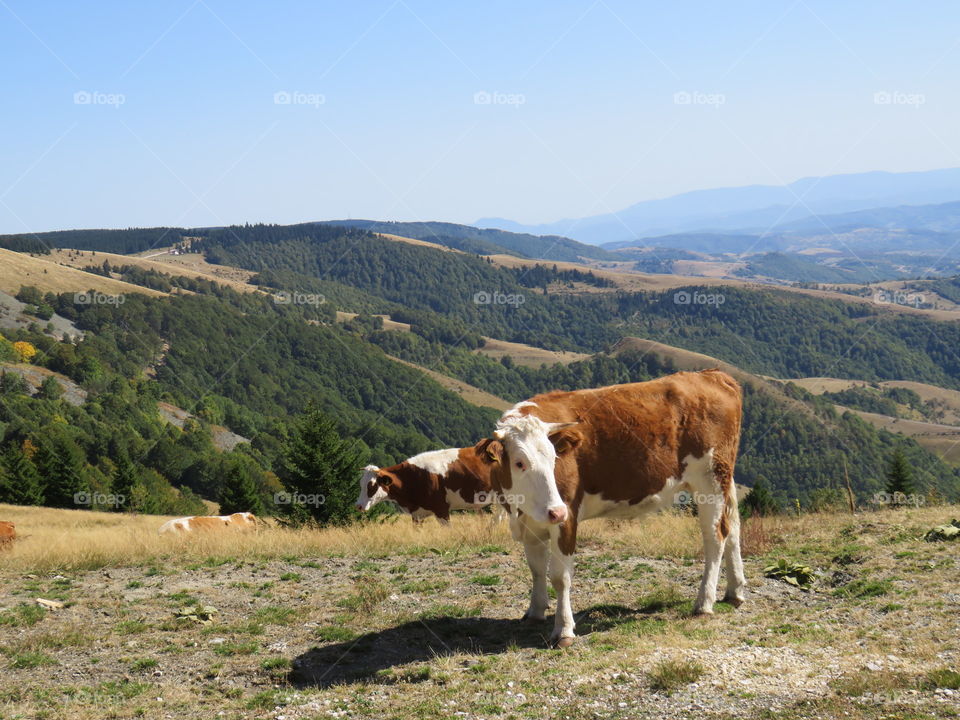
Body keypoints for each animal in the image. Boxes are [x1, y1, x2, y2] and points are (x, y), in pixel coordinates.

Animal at [485, 370, 746, 647]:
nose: (556, 511)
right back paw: (734, 592)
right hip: (724, 478)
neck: (520, 510)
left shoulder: (567, 515)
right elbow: (536, 569)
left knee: (715, 536)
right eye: (519, 463)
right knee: (733, 527)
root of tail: (712, 374)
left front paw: (564, 630)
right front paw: (534, 612)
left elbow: (560, 576)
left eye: (555, 459)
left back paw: (704, 604)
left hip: (710, 478)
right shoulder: (531, 523)